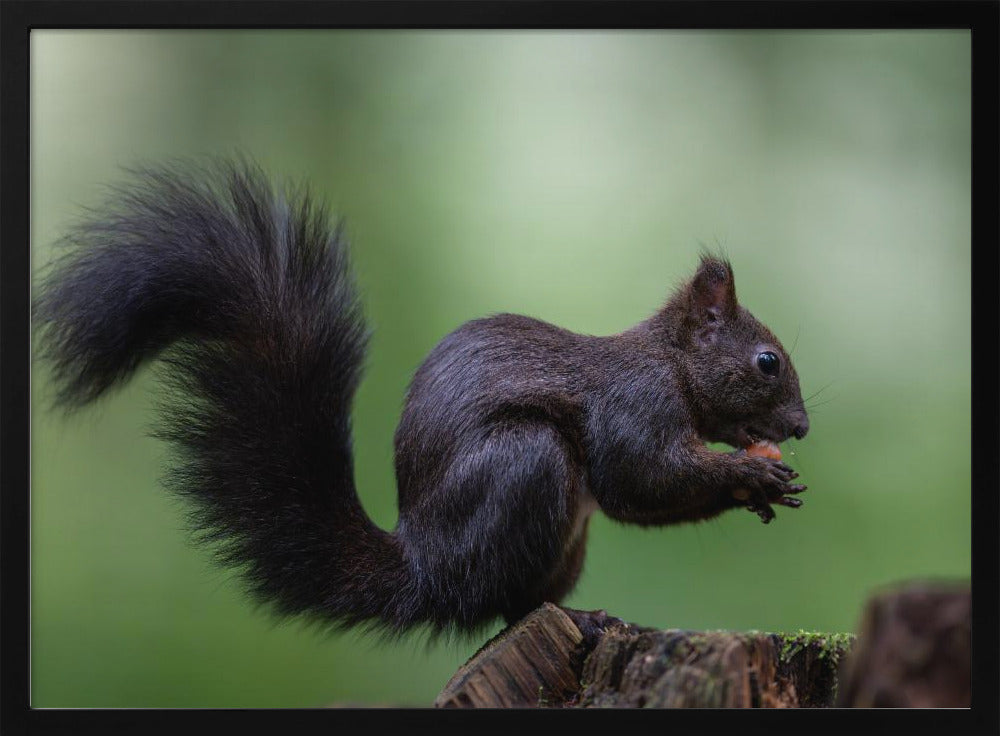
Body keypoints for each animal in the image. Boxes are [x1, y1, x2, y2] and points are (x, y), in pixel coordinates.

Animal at [35, 160, 808, 640]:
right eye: (767, 361)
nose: (800, 427)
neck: (669, 363)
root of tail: (426, 568)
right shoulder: (635, 403)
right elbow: (641, 477)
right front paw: (753, 474)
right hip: (527, 467)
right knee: (504, 602)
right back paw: (582, 620)